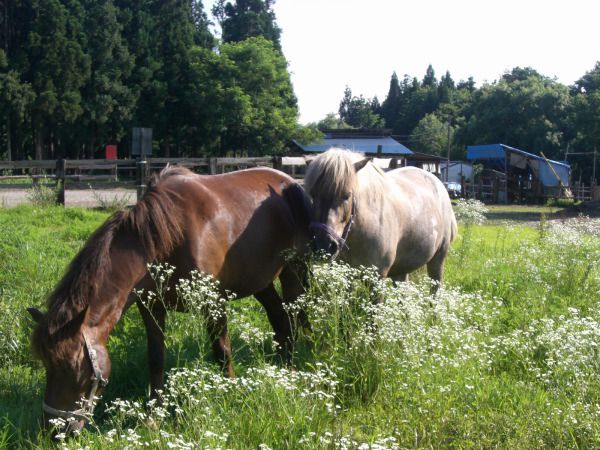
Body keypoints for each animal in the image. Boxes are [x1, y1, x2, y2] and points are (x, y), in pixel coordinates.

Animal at [26, 166, 312, 432]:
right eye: (46, 366)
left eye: (70, 368)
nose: (52, 430)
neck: (166, 238)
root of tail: (289, 182)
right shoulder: (152, 307)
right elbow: (156, 358)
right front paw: (154, 416)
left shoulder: (214, 302)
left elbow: (222, 352)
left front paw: (229, 394)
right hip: (259, 281)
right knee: (279, 317)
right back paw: (283, 369)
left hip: (293, 271)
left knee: (295, 315)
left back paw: (292, 369)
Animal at [308, 149, 458, 284]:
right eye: (313, 194)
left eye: (347, 195)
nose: (324, 246)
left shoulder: (378, 277)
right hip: (402, 268)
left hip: (437, 260)